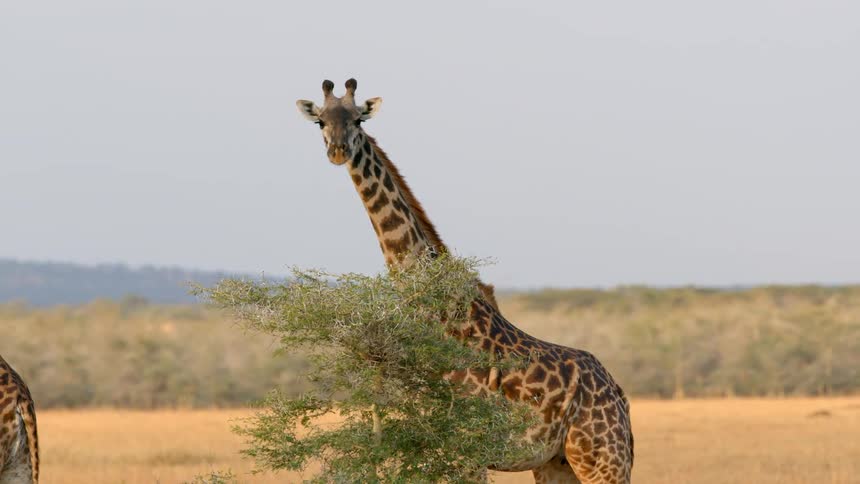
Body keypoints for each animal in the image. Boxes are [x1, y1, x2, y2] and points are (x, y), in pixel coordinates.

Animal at [296, 79, 633, 484]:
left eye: (358, 119)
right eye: (321, 121)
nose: (338, 151)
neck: (437, 313)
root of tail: (620, 397)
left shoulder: (468, 444)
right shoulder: (431, 439)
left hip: (603, 459)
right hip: (555, 461)